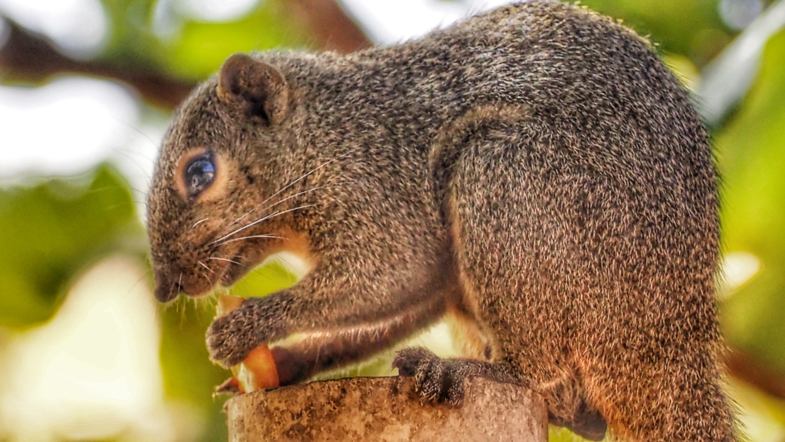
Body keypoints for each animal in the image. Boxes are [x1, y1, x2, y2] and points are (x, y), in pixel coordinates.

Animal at [146, 1, 738, 441]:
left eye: (200, 171)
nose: (164, 286)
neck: (321, 135)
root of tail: (674, 338)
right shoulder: (434, 275)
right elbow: (388, 311)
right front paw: (286, 364)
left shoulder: (379, 189)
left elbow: (389, 275)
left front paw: (247, 326)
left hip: (514, 181)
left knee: (540, 370)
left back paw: (473, 371)